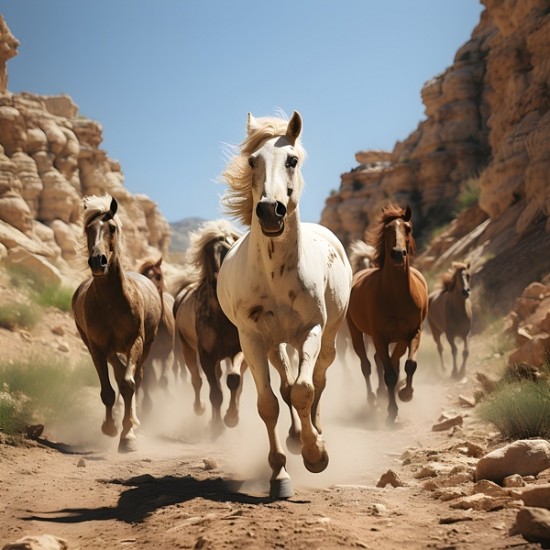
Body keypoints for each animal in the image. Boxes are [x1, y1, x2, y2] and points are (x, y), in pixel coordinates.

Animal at [71, 196, 162, 454]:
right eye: (88, 229)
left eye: (111, 228)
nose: (97, 261)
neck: (112, 302)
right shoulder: (97, 349)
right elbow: (108, 392)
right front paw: (110, 428)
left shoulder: (136, 342)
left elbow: (129, 385)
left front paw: (128, 436)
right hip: (109, 351)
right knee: (120, 374)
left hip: (145, 347)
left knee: (134, 378)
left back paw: (135, 423)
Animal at [139, 256, 178, 408]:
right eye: (143, 276)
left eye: (159, 275)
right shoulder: (147, 358)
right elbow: (148, 379)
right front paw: (147, 404)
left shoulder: (167, 354)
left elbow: (164, 380)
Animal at [172, 220, 246, 436]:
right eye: (207, 252)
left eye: (228, 249)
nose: (216, 282)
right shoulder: (206, 357)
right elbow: (215, 393)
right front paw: (217, 425)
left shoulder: (238, 352)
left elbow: (234, 381)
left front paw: (231, 418)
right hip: (187, 350)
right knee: (197, 381)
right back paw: (201, 410)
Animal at [217, 111, 354, 500]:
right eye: (252, 161)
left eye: (292, 159)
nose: (269, 211)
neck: (276, 274)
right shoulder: (251, 340)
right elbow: (270, 403)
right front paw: (279, 474)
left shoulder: (311, 330)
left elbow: (305, 390)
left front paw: (316, 453)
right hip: (275, 344)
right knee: (285, 384)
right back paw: (294, 437)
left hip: (328, 337)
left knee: (317, 380)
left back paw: (316, 431)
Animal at [350, 205, 432, 424]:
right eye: (387, 230)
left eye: (408, 228)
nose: (397, 254)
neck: (396, 296)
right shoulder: (379, 336)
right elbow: (389, 375)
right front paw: (391, 411)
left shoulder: (411, 333)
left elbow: (409, 365)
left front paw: (405, 393)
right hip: (356, 333)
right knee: (367, 365)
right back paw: (373, 399)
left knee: (386, 361)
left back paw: (385, 394)